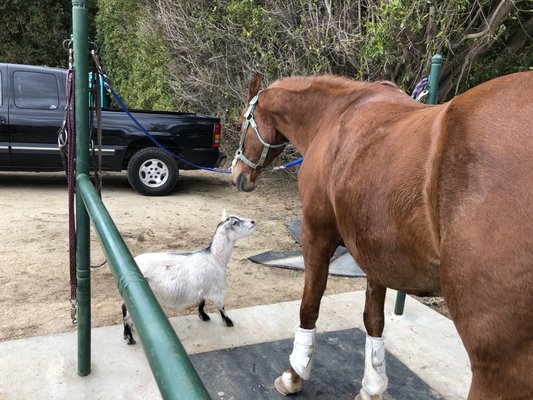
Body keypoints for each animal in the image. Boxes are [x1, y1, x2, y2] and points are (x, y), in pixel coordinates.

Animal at [121, 211, 255, 346]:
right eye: (235, 223)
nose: (253, 222)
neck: (215, 257)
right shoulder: (216, 290)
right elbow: (221, 306)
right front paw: (228, 322)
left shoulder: (202, 287)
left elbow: (201, 302)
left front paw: (204, 316)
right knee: (127, 314)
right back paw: (129, 338)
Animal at [231, 72, 532, 400]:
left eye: (243, 121)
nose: (236, 175)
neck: (335, 114)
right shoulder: (374, 253)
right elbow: (373, 320)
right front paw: (373, 387)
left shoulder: (316, 239)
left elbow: (309, 308)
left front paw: (294, 374)